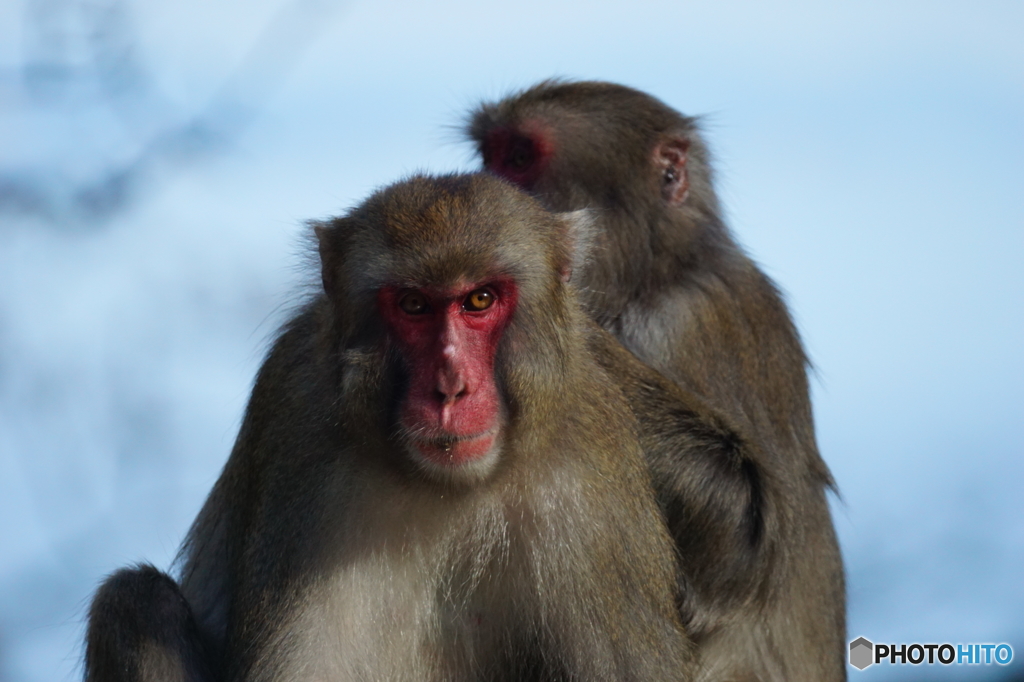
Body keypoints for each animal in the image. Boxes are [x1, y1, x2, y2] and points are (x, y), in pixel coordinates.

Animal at [86, 173, 704, 675]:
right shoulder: (296, 425)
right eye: (413, 305)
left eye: (479, 299)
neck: (446, 488)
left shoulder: (593, 479)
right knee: (133, 600)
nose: (450, 388)